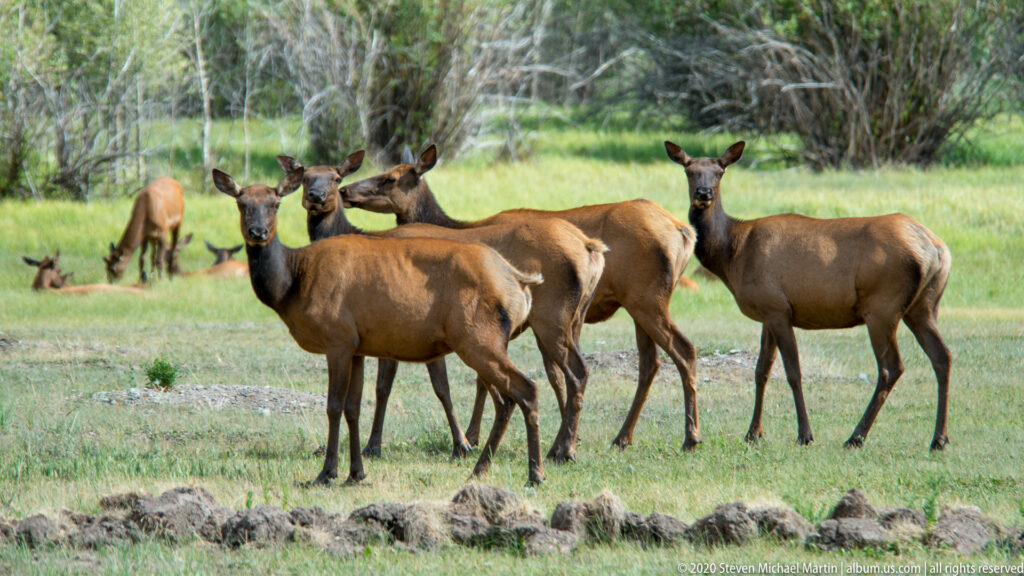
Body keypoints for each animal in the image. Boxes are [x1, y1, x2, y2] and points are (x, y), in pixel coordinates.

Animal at [212, 167, 547, 485]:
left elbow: (333, 406)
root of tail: (517, 279)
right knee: (507, 399)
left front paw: (327, 473)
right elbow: (353, 407)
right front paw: (355, 472)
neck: (292, 285)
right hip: (484, 340)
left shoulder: (337, 339)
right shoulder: (357, 346)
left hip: (477, 336)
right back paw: (482, 469)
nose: (258, 232)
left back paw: (533, 473)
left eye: (276, 203)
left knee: (525, 389)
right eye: (241, 203)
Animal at [278, 152, 607, 463]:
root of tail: (591, 246)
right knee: (561, 375)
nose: (324, 196)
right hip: (573, 320)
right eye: (305, 178)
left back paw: (564, 449)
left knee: (575, 373)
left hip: (551, 319)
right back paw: (562, 445)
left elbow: (399, 386)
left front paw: (377, 445)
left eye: (336, 178)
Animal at [339, 145, 702, 452]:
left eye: (389, 178)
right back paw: (620, 437)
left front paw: (467, 439)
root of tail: (684, 231)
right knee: (649, 362)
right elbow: (504, 379)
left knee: (679, 351)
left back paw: (687, 436)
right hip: (623, 307)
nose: (344, 190)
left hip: (637, 300)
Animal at [665, 140, 952, 450]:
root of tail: (936, 248)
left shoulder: (778, 308)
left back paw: (856, 436)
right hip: (924, 306)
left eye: (719, 172)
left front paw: (804, 434)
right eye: (689, 170)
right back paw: (939, 438)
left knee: (891, 367)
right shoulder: (768, 312)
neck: (733, 254)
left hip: (882, 307)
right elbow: (761, 370)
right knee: (943, 356)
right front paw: (753, 433)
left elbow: (793, 372)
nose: (703, 193)